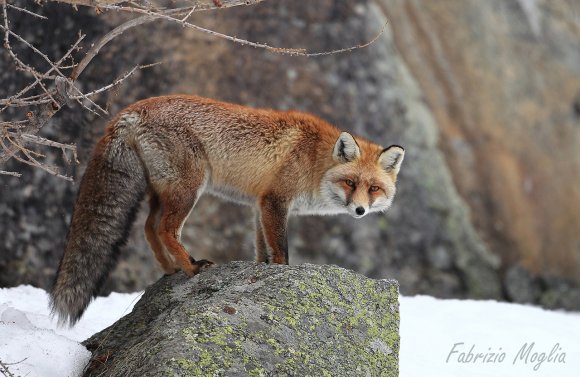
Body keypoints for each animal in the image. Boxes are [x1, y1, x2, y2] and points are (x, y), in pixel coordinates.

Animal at [49, 94, 404, 324]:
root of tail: (132, 109)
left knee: (149, 227)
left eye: (374, 189)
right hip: (190, 189)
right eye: (350, 183)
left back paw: (171, 268)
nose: (360, 211)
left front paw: (261, 270)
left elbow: (262, 250)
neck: (314, 160)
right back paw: (191, 268)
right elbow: (281, 251)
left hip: (165, 192)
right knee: (165, 228)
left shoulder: (259, 205)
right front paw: (281, 274)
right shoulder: (275, 201)